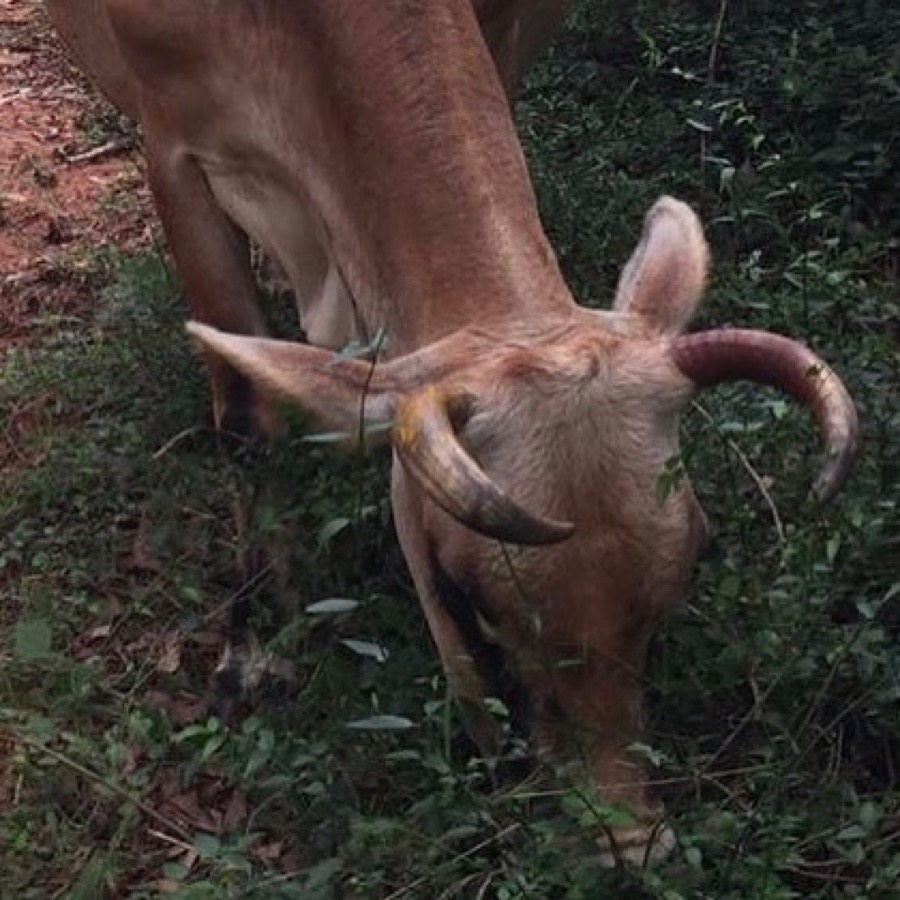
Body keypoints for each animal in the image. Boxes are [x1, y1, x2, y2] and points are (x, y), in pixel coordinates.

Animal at [49, 0, 858, 864]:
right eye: (462, 593)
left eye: (683, 573)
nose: (628, 840)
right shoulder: (171, 139)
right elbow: (245, 413)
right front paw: (255, 652)